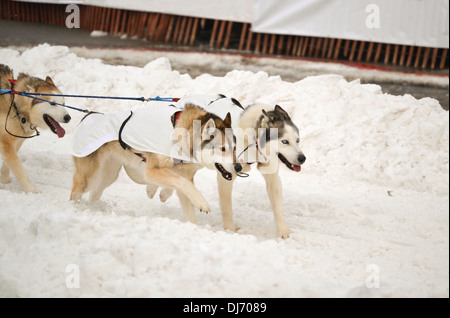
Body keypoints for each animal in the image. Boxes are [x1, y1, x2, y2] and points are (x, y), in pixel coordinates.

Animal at [0, 63, 71, 193]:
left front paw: (4, 181)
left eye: (63, 103)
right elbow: (19, 170)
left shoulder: (14, 141)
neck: (14, 104)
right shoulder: (6, 142)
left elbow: (8, 165)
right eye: (52, 103)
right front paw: (32, 192)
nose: (68, 117)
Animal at [69, 104, 243, 224]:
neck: (181, 135)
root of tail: (87, 117)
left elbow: (182, 191)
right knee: (76, 194)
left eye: (235, 148)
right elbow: (183, 184)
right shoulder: (152, 170)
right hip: (89, 177)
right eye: (222, 149)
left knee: (94, 194)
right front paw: (202, 203)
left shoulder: (181, 174)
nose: (239, 167)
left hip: (107, 176)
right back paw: (76, 210)